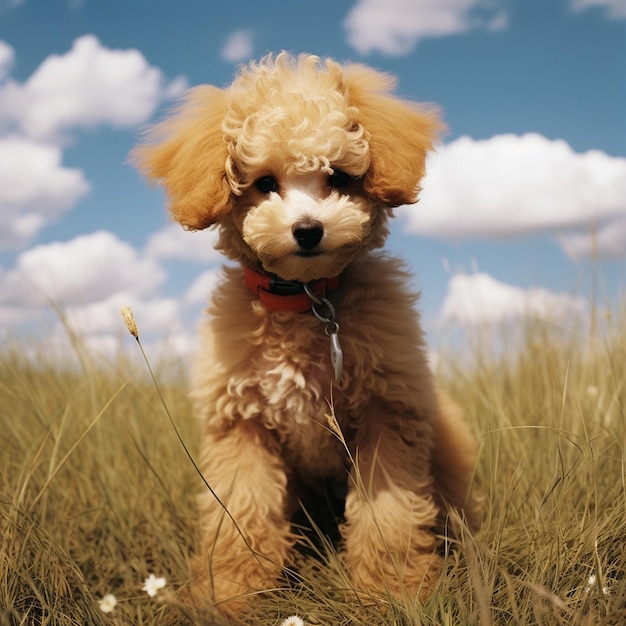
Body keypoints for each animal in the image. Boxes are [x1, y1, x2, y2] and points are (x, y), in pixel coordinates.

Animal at [134, 51, 480, 612]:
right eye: (263, 183)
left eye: (338, 176)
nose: (308, 230)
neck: (304, 302)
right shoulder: (242, 424)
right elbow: (242, 512)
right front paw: (233, 594)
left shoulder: (388, 412)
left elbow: (389, 516)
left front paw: (391, 593)